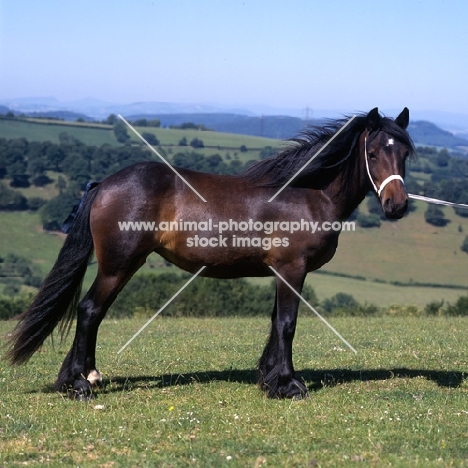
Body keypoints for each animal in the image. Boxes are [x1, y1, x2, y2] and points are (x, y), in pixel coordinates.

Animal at [4, 108, 414, 400]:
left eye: (405, 153)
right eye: (372, 153)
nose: (397, 206)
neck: (307, 194)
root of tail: (104, 183)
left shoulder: (280, 272)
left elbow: (273, 322)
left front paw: (268, 379)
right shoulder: (292, 269)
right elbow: (287, 323)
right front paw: (288, 385)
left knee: (93, 312)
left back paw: (83, 377)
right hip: (118, 265)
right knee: (90, 311)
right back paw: (78, 384)